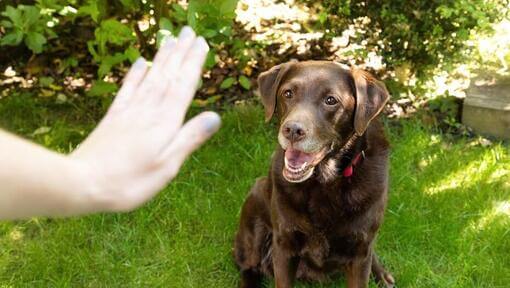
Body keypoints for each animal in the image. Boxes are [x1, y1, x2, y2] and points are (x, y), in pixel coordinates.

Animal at [233, 59, 396, 286]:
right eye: (288, 93)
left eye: (331, 100)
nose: (292, 130)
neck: (324, 183)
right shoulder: (284, 246)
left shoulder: (360, 251)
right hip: (256, 201)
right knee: (248, 268)